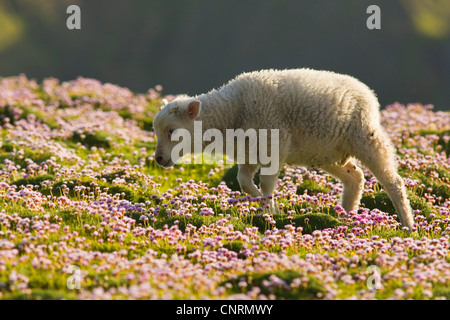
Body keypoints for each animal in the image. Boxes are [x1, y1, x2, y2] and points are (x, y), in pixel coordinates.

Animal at [154, 69, 414, 230]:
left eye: (172, 131)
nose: (158, 159)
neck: (233, 111)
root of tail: (367, 91)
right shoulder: (249, 153)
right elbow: (244, 182)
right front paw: (269, 205)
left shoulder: (273, 144)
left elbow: (267, 183)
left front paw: (271, 210)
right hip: (327, 151)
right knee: (355, 176)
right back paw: (346, 214)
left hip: (365, 135)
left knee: (393, 182)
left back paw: (407, 223)